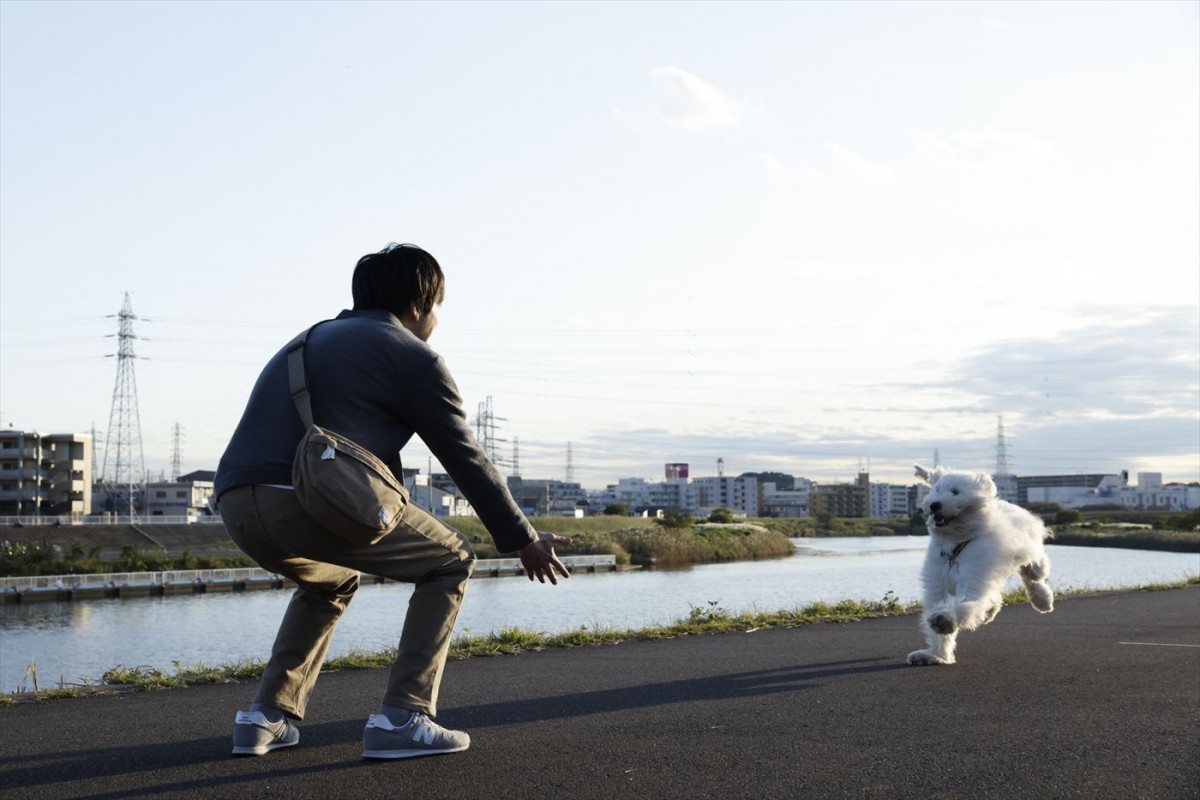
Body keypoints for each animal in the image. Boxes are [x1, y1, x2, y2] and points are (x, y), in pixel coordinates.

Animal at [907, 465, 1051, 666]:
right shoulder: (938, 585)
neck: (955, 547)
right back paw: (992, 611)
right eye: (936, 490)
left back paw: (1043, 599)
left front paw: (944, 620)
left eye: (955, 492)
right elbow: (939, 619)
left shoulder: (973, 579)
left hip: (1027, 548)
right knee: (998, 594)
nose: (934, 504)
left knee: (1035, 570)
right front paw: (937, 655)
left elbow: (964, 606)